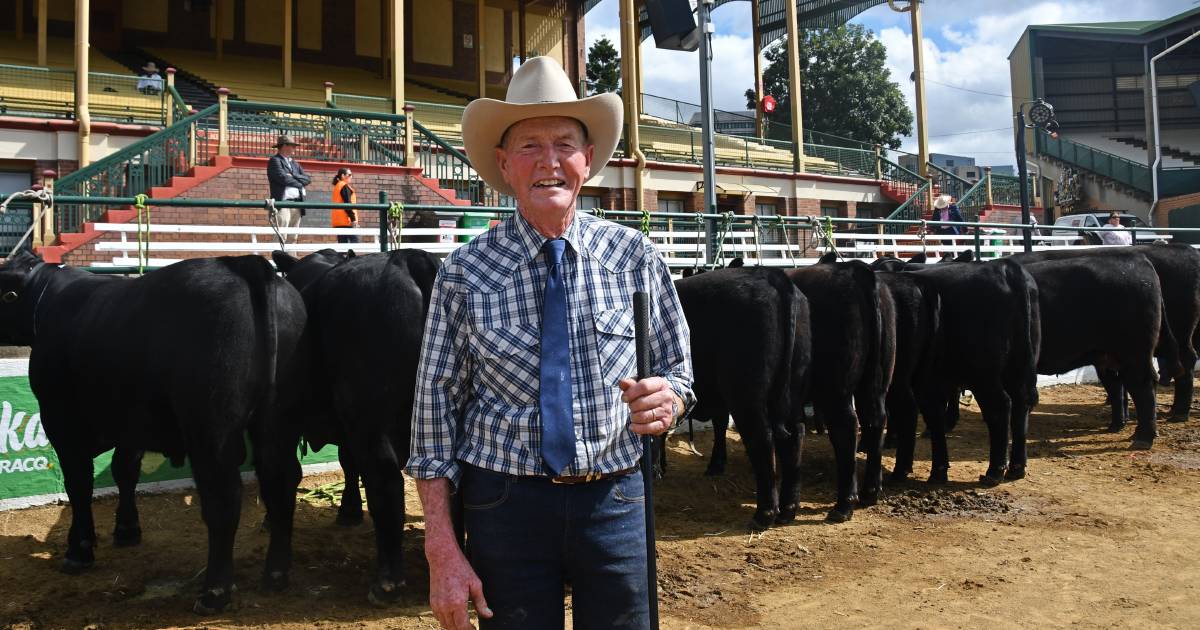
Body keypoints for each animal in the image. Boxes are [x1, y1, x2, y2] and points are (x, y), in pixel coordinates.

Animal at [0, 252, 309, 614]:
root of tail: (241, 263)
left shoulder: (61, 420)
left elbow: (79, 485)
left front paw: (79, 550)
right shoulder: (133, 423)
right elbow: (124, 471)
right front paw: (127, 530)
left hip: (210, 429)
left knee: (223, 499)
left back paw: (214, 592)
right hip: (277, 421)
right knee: (282, 483)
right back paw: (276, 574)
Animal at [273, 247, 441, 604]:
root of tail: (408, 258)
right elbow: (348, 463)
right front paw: (349, 509)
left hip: (369, 422)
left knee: (385, 484)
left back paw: (387, 582)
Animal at [681, 264, 811, 525]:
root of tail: (773, 276)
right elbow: (720, 424)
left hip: (745, 394)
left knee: (762, 439)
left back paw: (764, 513)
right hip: (792, 389)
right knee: (794, 436)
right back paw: (788, 509)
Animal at [782, 260, 897, 520]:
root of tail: (855, 271)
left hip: (837, 386)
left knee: (846, 426)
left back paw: (844, 504)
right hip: (876, 379)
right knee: (875, 419)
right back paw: (869, 492)